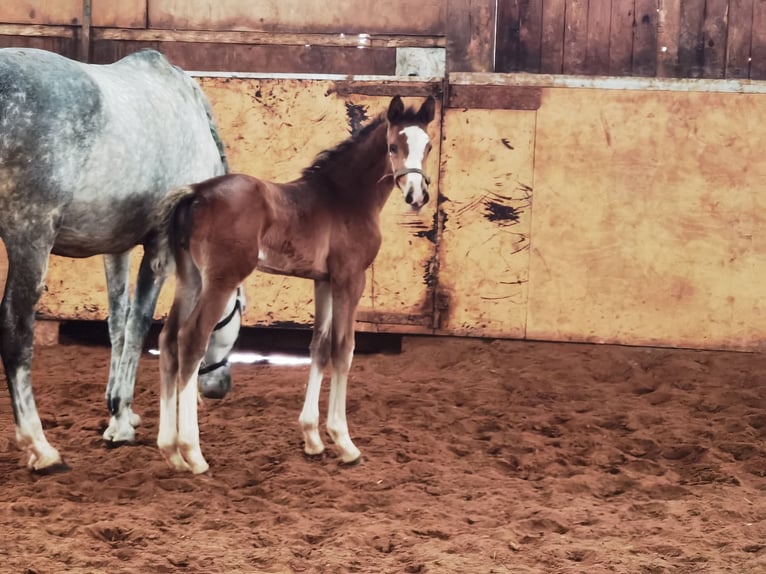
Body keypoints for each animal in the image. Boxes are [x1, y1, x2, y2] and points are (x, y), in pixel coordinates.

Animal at [0, 47, 240, 471]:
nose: (219, 387)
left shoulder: (116, 248)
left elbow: (117, 322)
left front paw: (119, 412)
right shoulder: (160, 246)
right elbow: (139, 324)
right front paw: (121, 422)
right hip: (30, 237)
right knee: (16, 332)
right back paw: (41, 448)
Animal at [151, 95, 436, 473]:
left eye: (428, 146)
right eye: (393, 147)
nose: (417, 196)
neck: (345, 199)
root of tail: (196, 192)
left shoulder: (324, 281)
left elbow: (319, 346)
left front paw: (312, 438)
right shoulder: (350, 278)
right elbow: (343, 348)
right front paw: (345, 442)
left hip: (189, 278)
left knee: (168, 340)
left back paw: (170, 451)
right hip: (221, 280)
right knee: (191, 339)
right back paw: (193, 453)